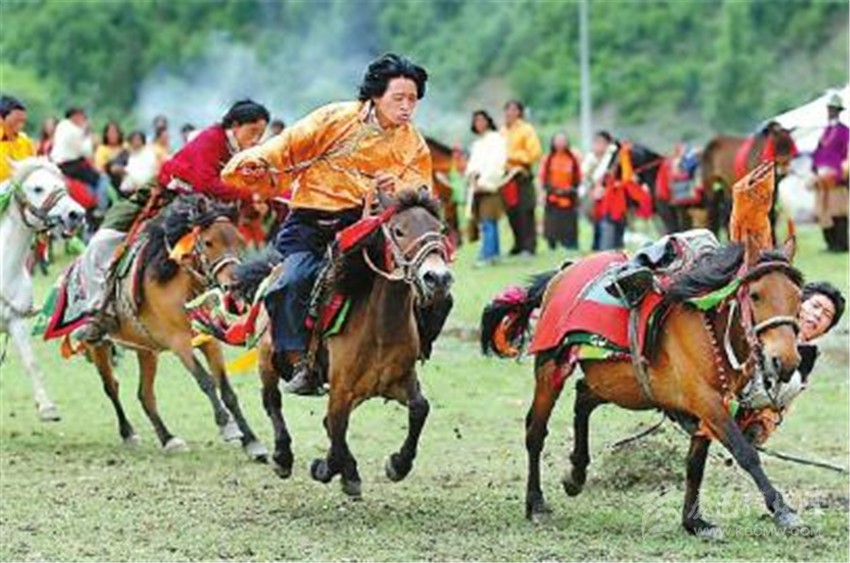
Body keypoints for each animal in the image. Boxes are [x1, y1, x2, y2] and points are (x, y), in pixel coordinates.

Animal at [0, 157, 85, 420]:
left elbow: (31, 363)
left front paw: (47, 407)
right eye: (37, 188)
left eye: (62, 185)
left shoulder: (15, 320)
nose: (76, 214)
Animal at [82, 195, 267, 459]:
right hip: (100, 345)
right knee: (112, 387)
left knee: (145, 395)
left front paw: (252, 441)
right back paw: (128, 433)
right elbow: (206, 381)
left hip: (146, 350)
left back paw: (168, 438)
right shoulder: (179, 343)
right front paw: (228, 426)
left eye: (239, 241)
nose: (234, 286)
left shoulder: (209, 340)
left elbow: (227, 390)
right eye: (208, 242)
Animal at [235, 188, 453, 497]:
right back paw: (282, 457)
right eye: (398, 230)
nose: (438, 278)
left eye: (440, 230)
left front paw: (397, 464)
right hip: (268, 360)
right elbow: (336, 428)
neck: (380, 329)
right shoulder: (341, 389)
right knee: (272, 400)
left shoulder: (400, 380)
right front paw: (329, 469)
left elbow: (420, 408)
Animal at [481, 235, 809, 537]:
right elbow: (745, 453)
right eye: (755, 295)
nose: (786, 361)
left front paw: (693, 521)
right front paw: (784, 512)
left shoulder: (712, 404)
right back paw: (536, 503)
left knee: (583, 397)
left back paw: (576, 473)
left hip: (618, 384)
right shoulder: (708, 402)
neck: (710, 326)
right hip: (552, 368)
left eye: (797, 296)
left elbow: (695, 464)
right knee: (536, 431)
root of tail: (562, 273)